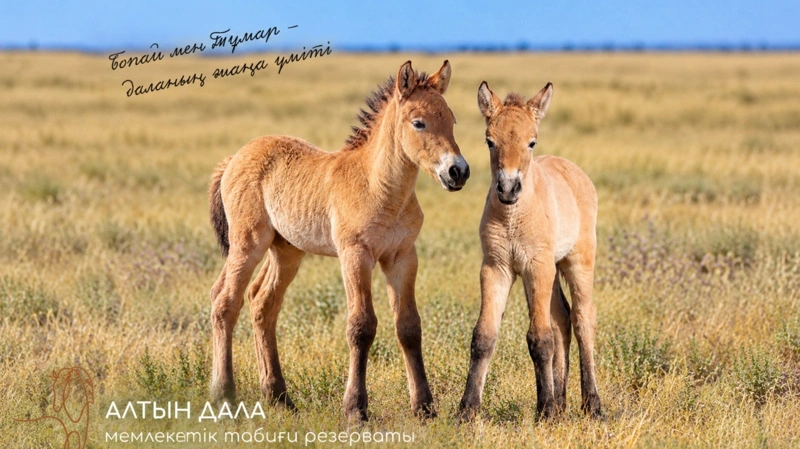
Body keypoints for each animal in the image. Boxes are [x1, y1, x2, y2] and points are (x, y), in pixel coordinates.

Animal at [207, 60, 469, 422]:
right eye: (418, 122)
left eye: (452, 120)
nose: (458, 172)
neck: (380, 188)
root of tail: (233, 158)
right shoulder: (354, 255)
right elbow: (361, 326)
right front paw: (356, 409)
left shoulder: (403, 256)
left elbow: (409, 327)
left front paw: (424, 407)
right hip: (248, 243)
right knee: (225, 301)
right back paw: (224, 396)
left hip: (287, 250)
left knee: (262, 302)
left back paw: (279, 397)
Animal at [458, 81, 601, 420]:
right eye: (489, 141)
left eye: (531, 142)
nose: (508, 188)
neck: (513, 217)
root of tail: (574, 170)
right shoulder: (497, 267)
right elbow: (484, 336)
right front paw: (467, 410)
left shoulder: (537, 266)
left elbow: (539, 338)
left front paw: (545, 411)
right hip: (543, 271)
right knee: (562, 320)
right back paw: (561, 402)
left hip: (576, 261)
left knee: (582, 319)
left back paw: (591, 404)